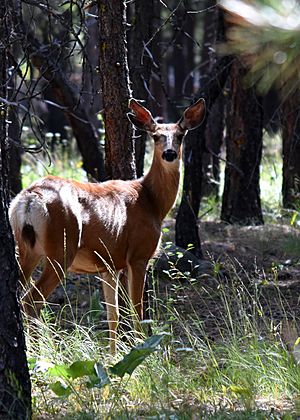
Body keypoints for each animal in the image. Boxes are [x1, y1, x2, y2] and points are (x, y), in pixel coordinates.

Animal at [8, 98, 206, 354]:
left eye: (181, 135)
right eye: (155, 136)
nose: (170, 154)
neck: (152, 202)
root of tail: (30, 199)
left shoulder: (108, 266)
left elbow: (114, 315)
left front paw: (113, 356)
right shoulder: (138, 255)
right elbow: (136, 312)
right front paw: (143, 352)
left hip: (25, 249)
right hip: (61, 249)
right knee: (31, 300)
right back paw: (40, 352)